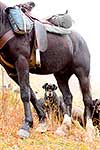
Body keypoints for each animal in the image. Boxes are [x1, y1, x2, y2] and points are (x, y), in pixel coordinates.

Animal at [0, 1, 94, 139]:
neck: (6, 24)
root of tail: (81, 39)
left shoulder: (21, 61)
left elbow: (25, 94)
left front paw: (26, 126)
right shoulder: (11, 70)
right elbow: (31, 94)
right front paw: (42, 121)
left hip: (83, 74)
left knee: (87, 100)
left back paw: (89, 132)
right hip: (61, 75)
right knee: (68, 97)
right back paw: (64, 127)